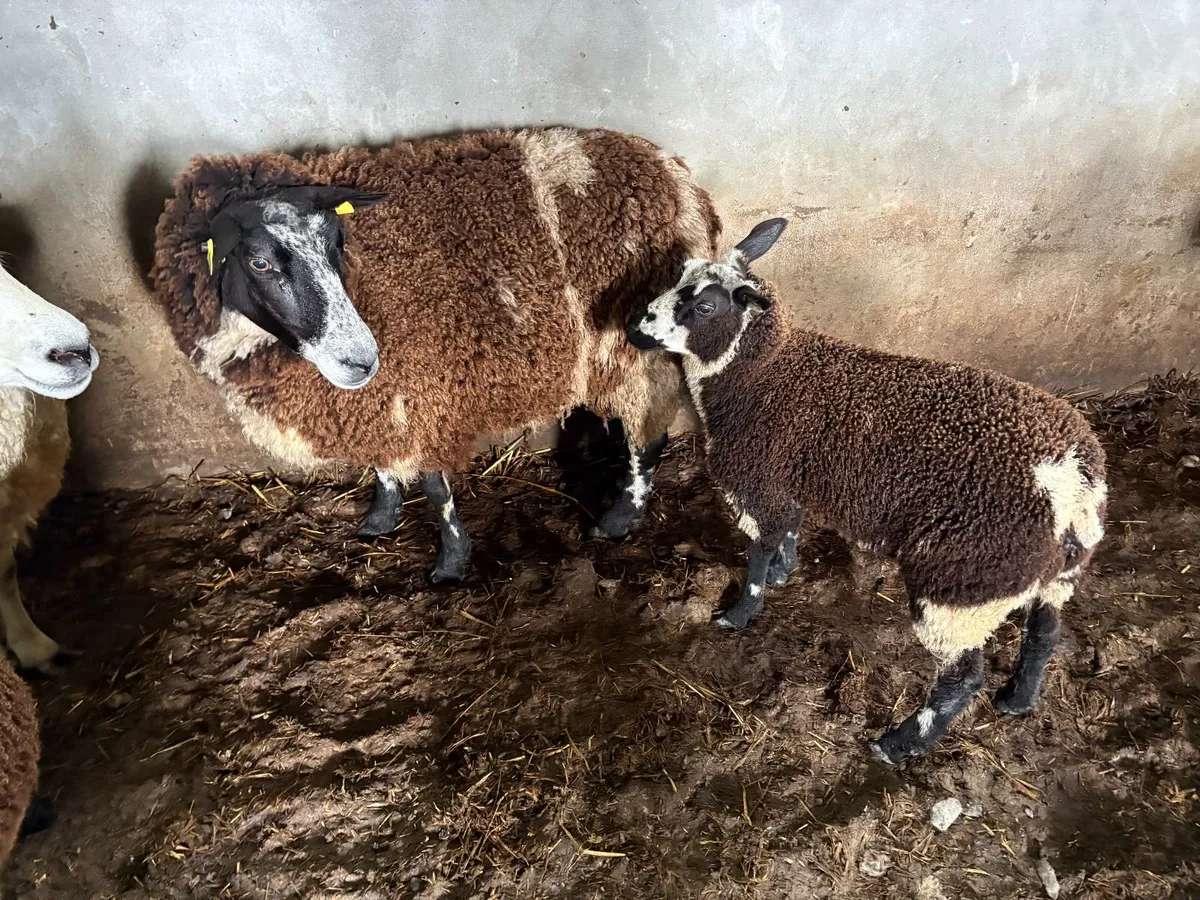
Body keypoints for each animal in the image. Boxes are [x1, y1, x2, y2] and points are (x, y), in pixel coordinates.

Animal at [152, 128, 720, 580]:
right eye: (260, 262)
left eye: (338, 243)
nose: (362, 359)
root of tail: (678, 178)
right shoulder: (381, 398)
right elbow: (383, 467)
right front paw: (379, 520)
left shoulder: (419, 387)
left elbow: (435, 488)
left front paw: (451, 564)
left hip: (636, 347)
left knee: (648, 432)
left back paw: (620, 518)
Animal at [627, 218, 1107, 763]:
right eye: (679, 275)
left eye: (706, 306)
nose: (635, 329)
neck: (765, 372)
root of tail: (1070, 477)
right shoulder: (785, 482)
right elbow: (788, 532)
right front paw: (783, 574)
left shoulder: (757, 480)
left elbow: (760, 550)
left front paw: (741, 612)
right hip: (1057, 570)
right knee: (1044, 633)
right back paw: (1018, 700)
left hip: (964, 580)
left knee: (963, 677)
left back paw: (898, 745)